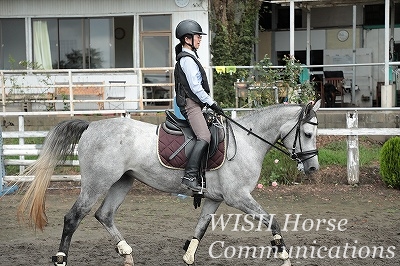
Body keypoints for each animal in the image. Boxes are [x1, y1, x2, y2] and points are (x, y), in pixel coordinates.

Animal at [18, 100, 320, 266]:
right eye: (307, 133)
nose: (313, 168)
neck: (247, 142)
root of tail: (91, 126)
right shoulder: (238, 197)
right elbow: (273, 221)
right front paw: (284, 256)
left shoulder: (214, 198)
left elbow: (200, 229)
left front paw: (188, 257)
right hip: (97, 183)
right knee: (73, 218)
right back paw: (61, 259)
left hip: (122, 182)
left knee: (104, 215)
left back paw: (126, 253)